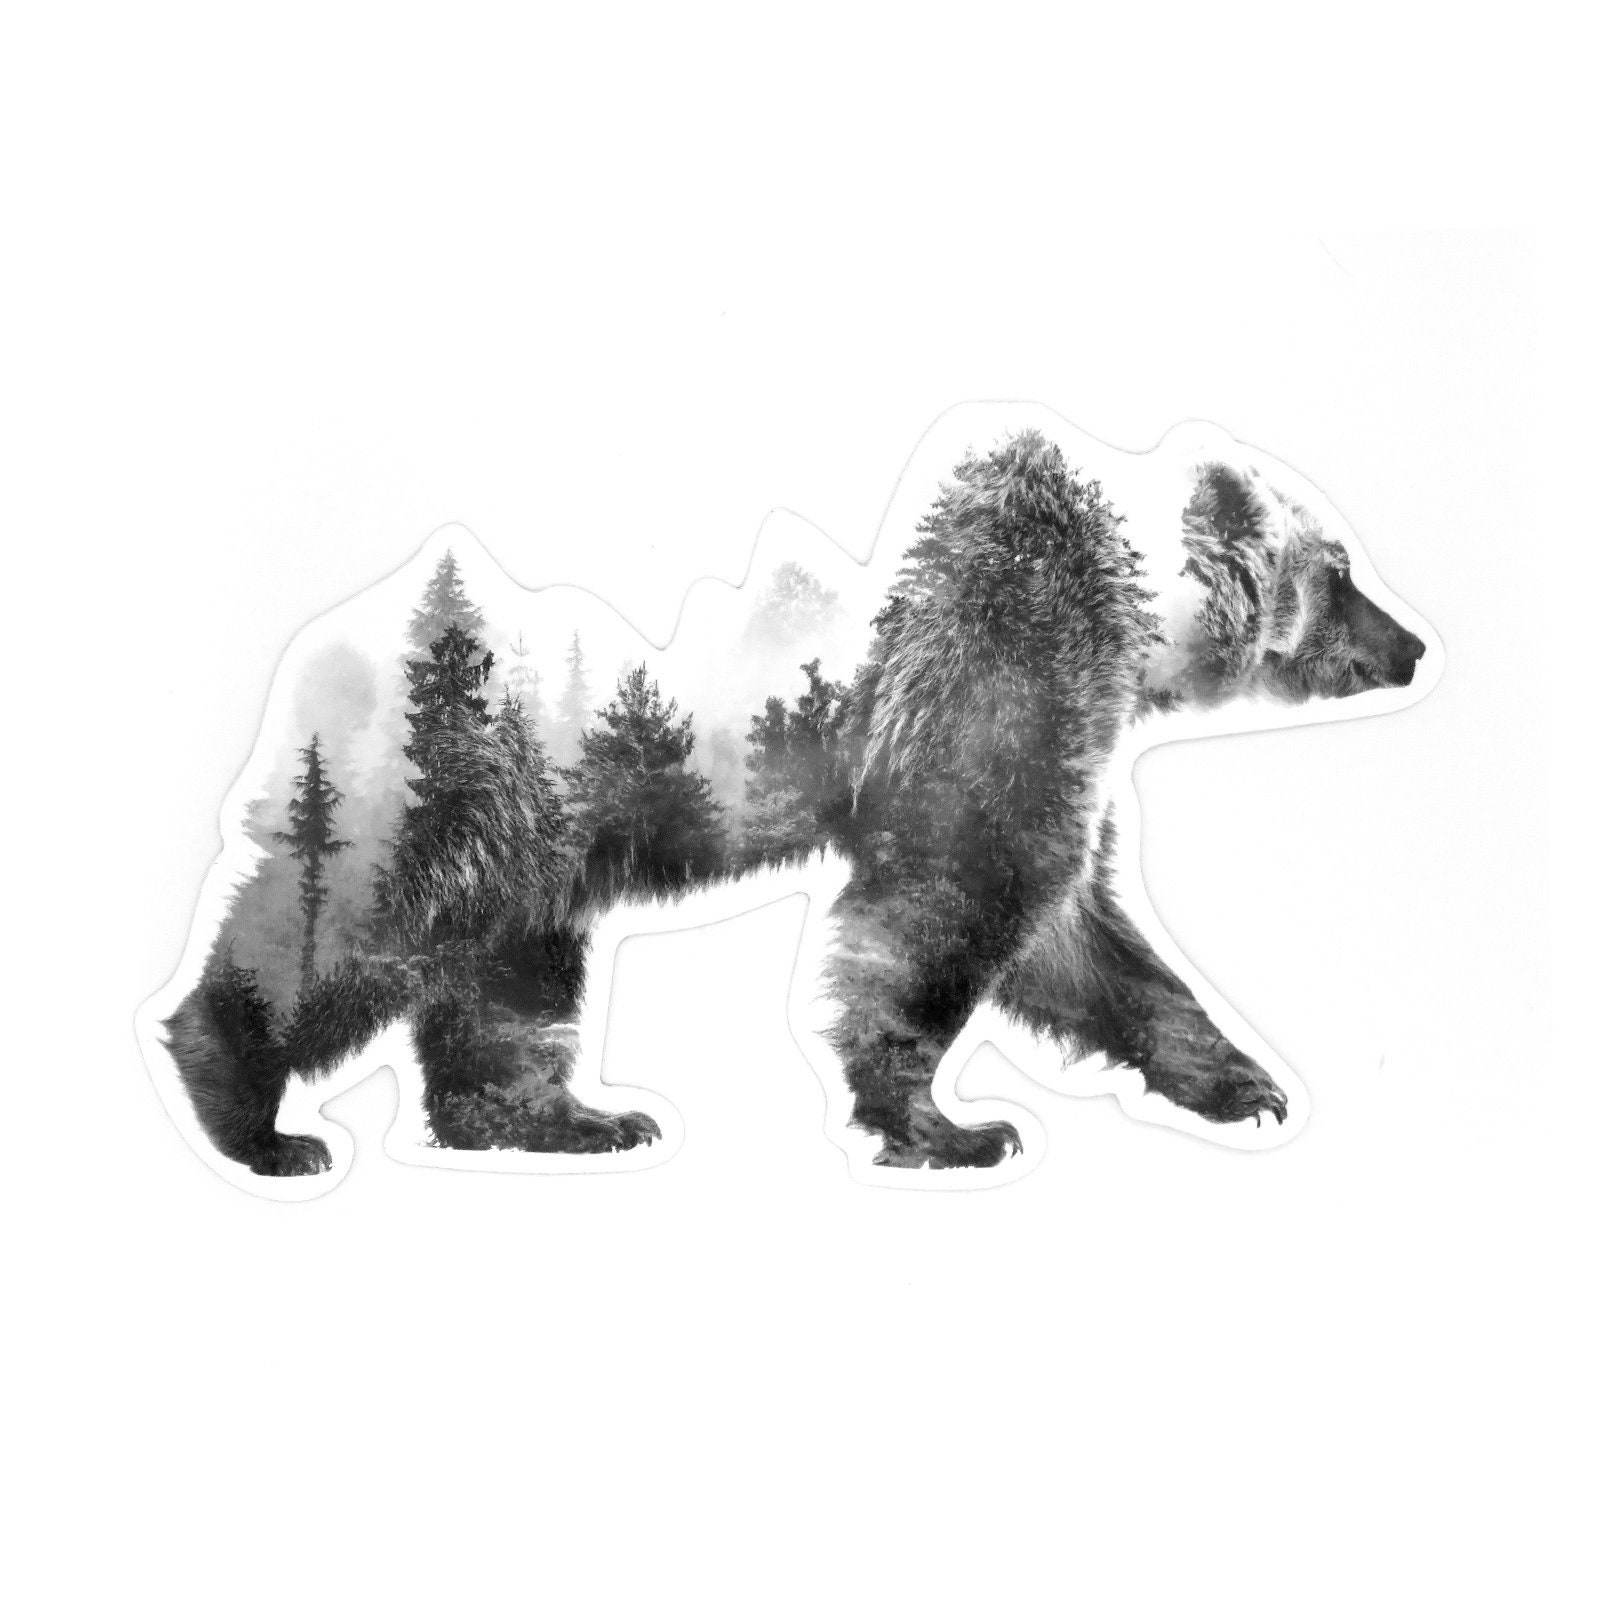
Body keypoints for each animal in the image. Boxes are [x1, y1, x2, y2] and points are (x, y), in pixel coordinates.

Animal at [141, 408, 1436, 1190]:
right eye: (1341, 569)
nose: (1416, 645)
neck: (1120, 597)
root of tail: (322, 653)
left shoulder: (1058, 716)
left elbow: (1079, 932)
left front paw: (1245, 1085)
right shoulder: (992, 657)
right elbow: (955, 899)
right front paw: (954, 1126)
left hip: (527, 828)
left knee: (509, 977)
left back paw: (576, 1118)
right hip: (443, 775)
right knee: (336, 928)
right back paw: (255, 1115)